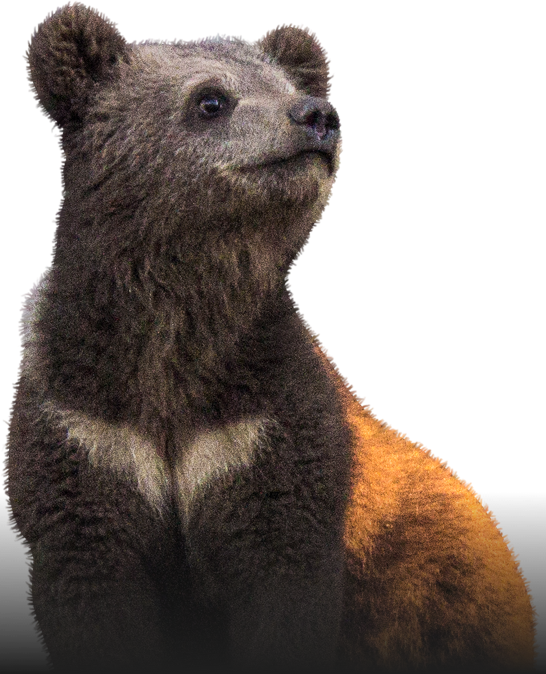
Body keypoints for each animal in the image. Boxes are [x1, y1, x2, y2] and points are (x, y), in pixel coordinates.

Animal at [3, 3, 537, 674]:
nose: (318, 117)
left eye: (290, 86)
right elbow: (90, 573)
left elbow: (283, 570)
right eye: (211, 100)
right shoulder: (86, 425)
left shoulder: (262, 427)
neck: (178, 329)